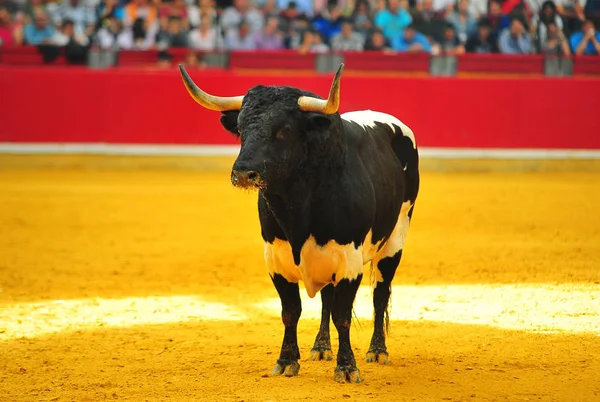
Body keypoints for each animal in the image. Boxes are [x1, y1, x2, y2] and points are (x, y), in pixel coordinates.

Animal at [179, 63, 422, 384]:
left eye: (284, 130)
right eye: (241, 129)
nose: (243, 173)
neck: (297, 209)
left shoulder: (350, 261)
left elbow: (343, 315)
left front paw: (347, 367)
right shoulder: (276, 259)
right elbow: (291, 311)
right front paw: (286, 361)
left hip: (394, 241)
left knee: (380, 295)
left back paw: (377, 351)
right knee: (327, 298)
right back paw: (321, 347)